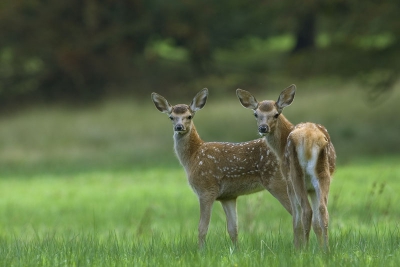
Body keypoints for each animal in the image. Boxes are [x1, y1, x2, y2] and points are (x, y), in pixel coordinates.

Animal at [150, 88, 290, 249]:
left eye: (189, 116)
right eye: (171, 117)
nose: (179, 127)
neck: (193, 156)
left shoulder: (206, 188)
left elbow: (202, 227)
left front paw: (201, 251)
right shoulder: (228, 196)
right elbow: (233, 229)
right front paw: (236, 250)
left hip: (277, 181)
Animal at [236, 85, 336, 252]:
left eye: (276, 114)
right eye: (256, 114)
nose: (263, 128)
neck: (280, 147)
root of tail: (309, 139)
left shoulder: (287, 180)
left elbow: (296, 218)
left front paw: (297, 247)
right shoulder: (311, 188)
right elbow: (317, 223)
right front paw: (320, 249)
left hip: (295, 173)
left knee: (306, 210)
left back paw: (305, 250)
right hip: (323, 174)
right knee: (323, 210)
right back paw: (327, 251)